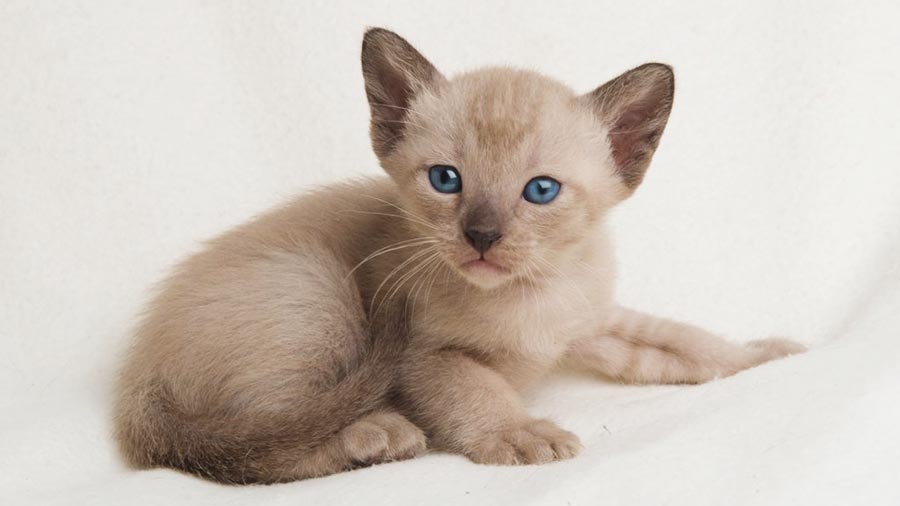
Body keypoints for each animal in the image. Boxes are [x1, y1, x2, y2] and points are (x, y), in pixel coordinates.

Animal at [109, 28, 804, 486]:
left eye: (541, 191)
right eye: (447, 180)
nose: (482, 235)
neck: (531, 298)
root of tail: (137, 379)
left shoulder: (590, 322)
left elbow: (682, 343)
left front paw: (766, 355)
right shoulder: (425, 355)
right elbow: (475, 389)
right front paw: (520, 433)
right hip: (315, 294)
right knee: (252, 449)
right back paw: (376, 436)